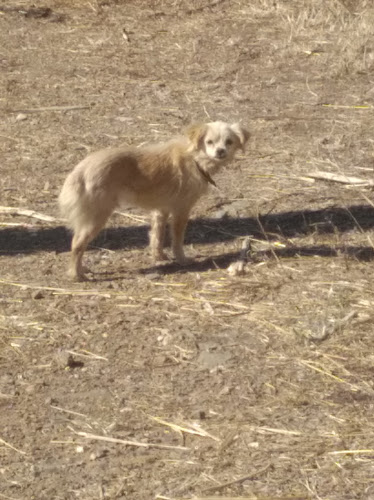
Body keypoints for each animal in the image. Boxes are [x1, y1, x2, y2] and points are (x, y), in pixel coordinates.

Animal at [59, 119, 248, 280]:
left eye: (229, 142)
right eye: (209, 142)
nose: (220, 151)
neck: (194, 158)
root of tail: (81, 169)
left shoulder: (160, 210)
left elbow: (157, 236)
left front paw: (160, 257)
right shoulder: (181, 210)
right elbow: (177, 240)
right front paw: (182, 259)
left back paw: (82, 269)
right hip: (97, 217)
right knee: (76, 244)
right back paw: (77, 275)